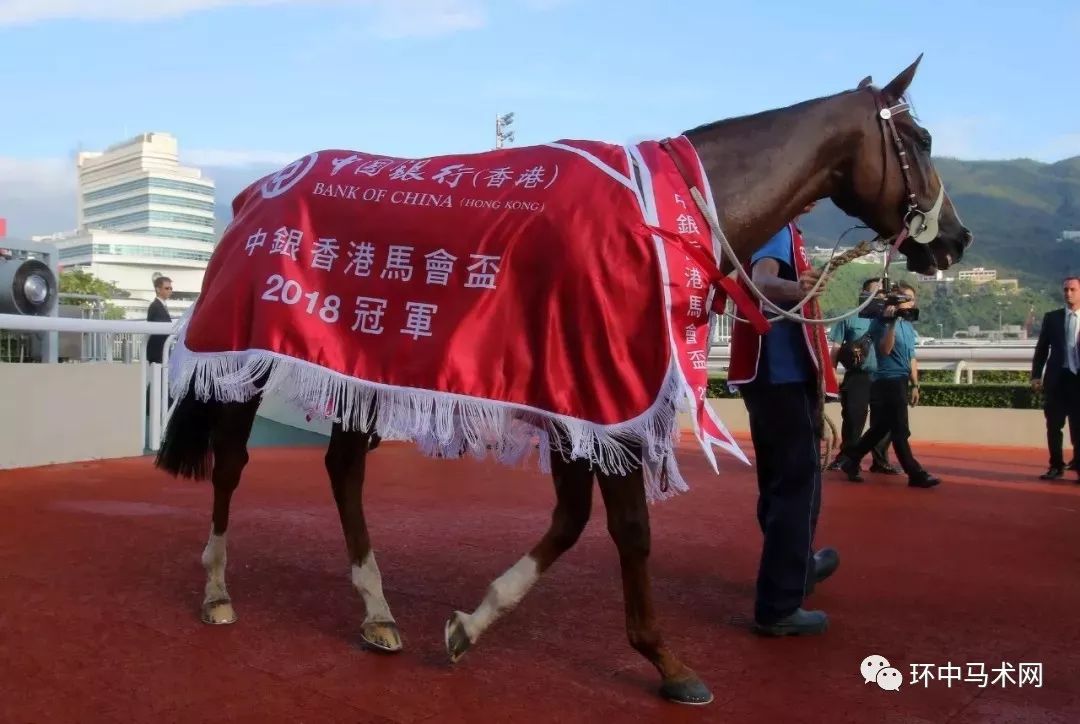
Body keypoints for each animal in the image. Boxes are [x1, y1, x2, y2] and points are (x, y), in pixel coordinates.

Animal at [154, 54, 971, 707]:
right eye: (924, 141)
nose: (956, 240)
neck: (666, 217)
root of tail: (253, 192)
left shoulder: (578, 398)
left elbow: (571, 520)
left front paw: (471, 622)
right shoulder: (603, 389)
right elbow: (629, 530)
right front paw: (668, 662)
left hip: (361, 363)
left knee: (343, 469)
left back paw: (376, 612)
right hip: (246, 353)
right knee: (232, 462)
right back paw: (217, 590)